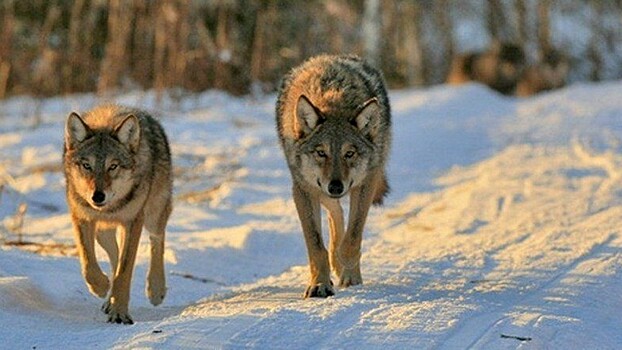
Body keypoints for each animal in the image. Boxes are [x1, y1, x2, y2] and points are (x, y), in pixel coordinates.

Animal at [63, 104, 173, 326]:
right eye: (87, 165)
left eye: (113, 166)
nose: (97, 196)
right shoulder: (82, 218)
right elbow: (88, 263)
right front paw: (101, 287)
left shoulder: (133, 222)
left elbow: (124, 272)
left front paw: (120, 313)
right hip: (102, 232)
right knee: (114, 256)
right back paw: (108, 298)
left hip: (153, 216)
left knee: (157, 240)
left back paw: (155, 290)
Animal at [276, 54, 390, 298]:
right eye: (321, 153)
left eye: (349, 153)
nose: (336, 187)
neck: (333, 95)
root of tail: (328, 57)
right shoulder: (303, 189)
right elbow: (316, 245)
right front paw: (320, 283)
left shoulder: (366, 182)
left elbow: (353, 237)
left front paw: (348, 271)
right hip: (318, 189)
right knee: (335, 213)